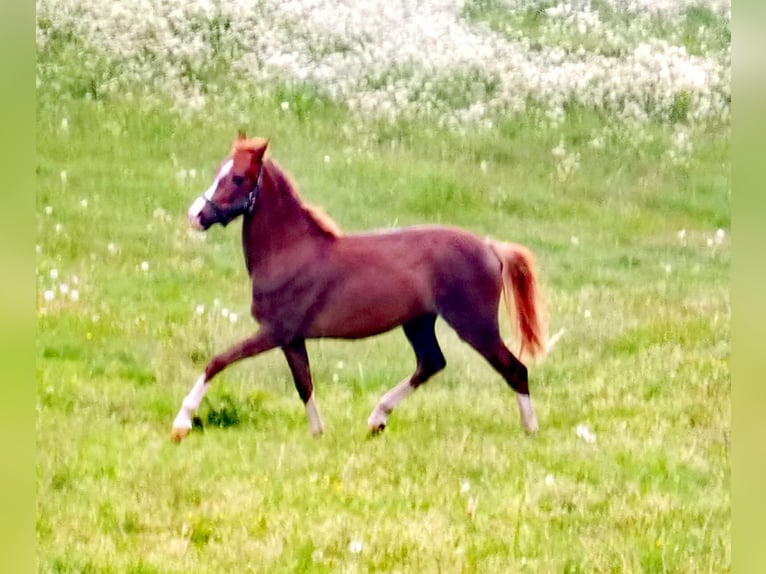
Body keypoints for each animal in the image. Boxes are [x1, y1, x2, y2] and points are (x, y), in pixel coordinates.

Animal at [171, 133, 548, 442]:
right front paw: (318, 433)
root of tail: (490, 247)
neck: (290, 250)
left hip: (474, 325)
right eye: (218, 170)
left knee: (514, 368)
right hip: (419, 322)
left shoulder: (274, 331)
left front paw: (181, 423)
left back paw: (530, 429)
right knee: (431, 363)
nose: (195, 216)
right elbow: (304, 384)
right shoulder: (293, 339)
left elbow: (217, 361)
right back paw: (377, 419)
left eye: (237, 177)